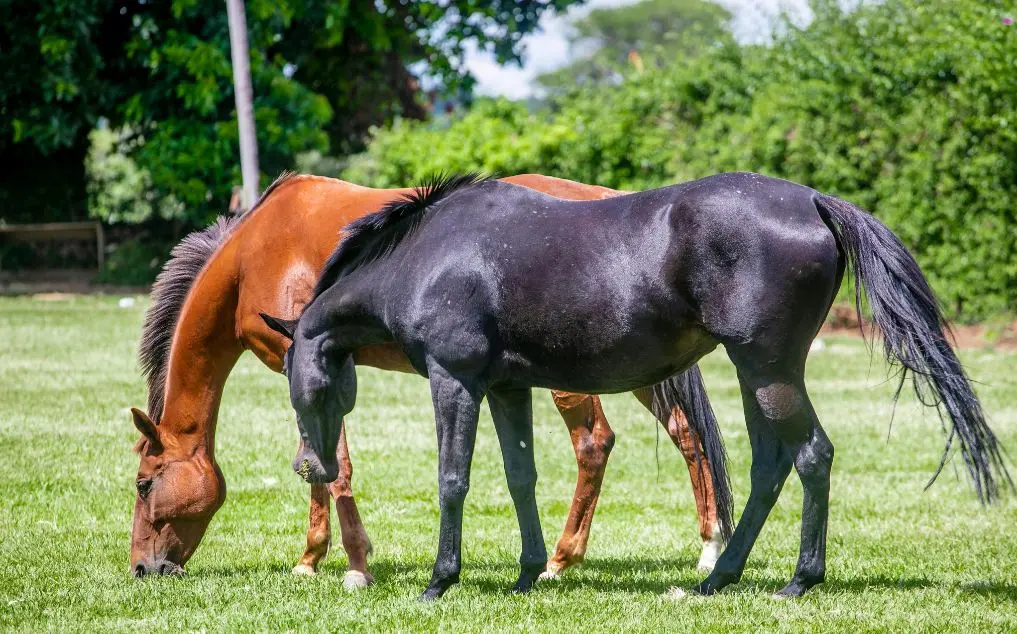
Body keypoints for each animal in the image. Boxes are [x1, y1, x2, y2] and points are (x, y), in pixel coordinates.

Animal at [128, 172, 733, 588]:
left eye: (143, 484)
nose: (141, 568)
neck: (252, 256)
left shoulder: (308, 365)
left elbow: (332, 465)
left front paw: (347, 564)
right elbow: (319, 462)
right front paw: (316, 558)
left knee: (594, 444)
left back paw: (561, 560)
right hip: (640, 367)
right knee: (686, 434)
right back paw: (708, 544)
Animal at [267, 171, 1011, 600]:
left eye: (303, 384)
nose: (312, 465)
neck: (427, 255)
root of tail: (810, 200)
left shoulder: (456, 384)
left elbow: (454, 479)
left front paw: (439, 582)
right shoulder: (506, 389)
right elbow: (519, 478)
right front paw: (528, 573)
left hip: (767, 370)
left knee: (811, 457)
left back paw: (799, 580)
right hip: (758, 375)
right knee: (770, 467)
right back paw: (716, 578)